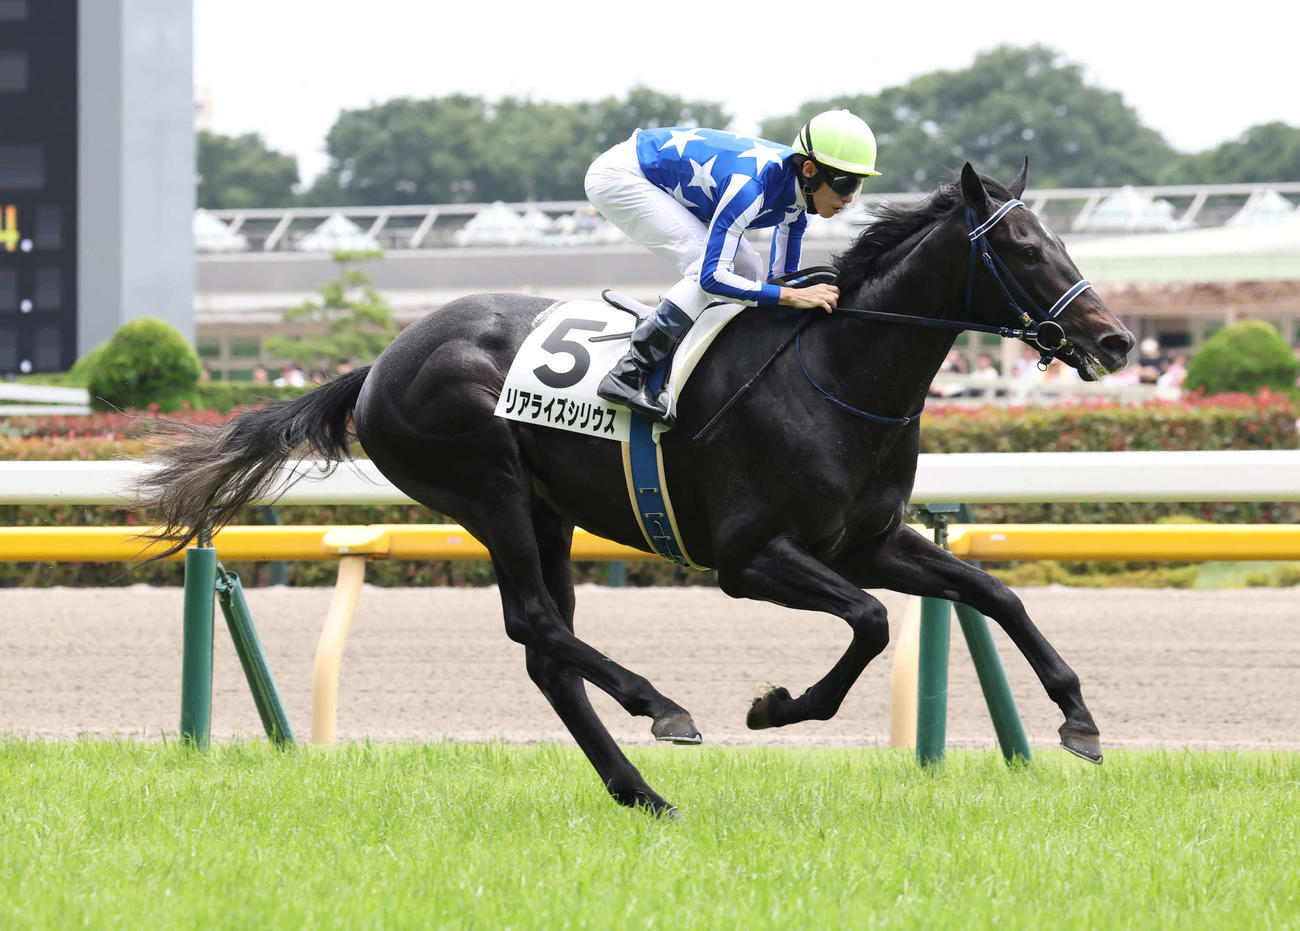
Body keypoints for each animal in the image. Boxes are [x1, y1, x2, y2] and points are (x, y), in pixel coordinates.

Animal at [139, 162, 1134, 815]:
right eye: (1021, 247)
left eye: (1060, 237)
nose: (1117, 339)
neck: (835, 370)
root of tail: (379, 362)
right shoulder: (750, 558)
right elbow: (871, 622)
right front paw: (775, 706)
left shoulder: (867, 542)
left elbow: (993, 593)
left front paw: (1079, 719)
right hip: (490, 491)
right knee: (536, 625)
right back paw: (661, 707)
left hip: (547, 515)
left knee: (547, 650)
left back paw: (639, 790)